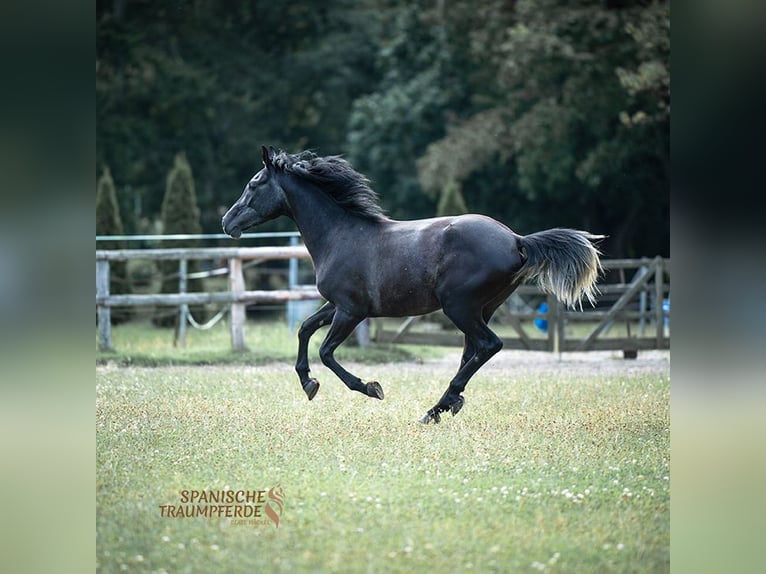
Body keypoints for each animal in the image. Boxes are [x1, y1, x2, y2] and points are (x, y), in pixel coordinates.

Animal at [219, 148, 604, 426]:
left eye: (254, 183)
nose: (226, 222)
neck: (340, 235)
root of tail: (516, 240)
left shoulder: (351, 311)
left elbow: (326, 351)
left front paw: (371, 388)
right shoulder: (336, 305)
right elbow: (303, 329)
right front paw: (309, 384)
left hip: (459, 307)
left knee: (488, 345)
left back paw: (437, 408)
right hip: (483, 308)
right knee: (473, 351)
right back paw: (445, 405)